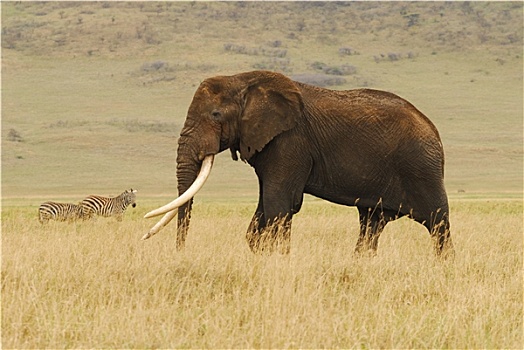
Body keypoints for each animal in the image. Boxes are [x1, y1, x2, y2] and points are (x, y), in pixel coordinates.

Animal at [144, 69, 454, 258]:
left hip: (420, 166)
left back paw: (444, 266)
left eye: (216, 115)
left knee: (438, 222)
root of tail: (434, 130)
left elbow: (278, 204)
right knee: (371, 223)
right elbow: (266, 206)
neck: (242, 80)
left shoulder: (290, 141)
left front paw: (279, 260)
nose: (180, 252)